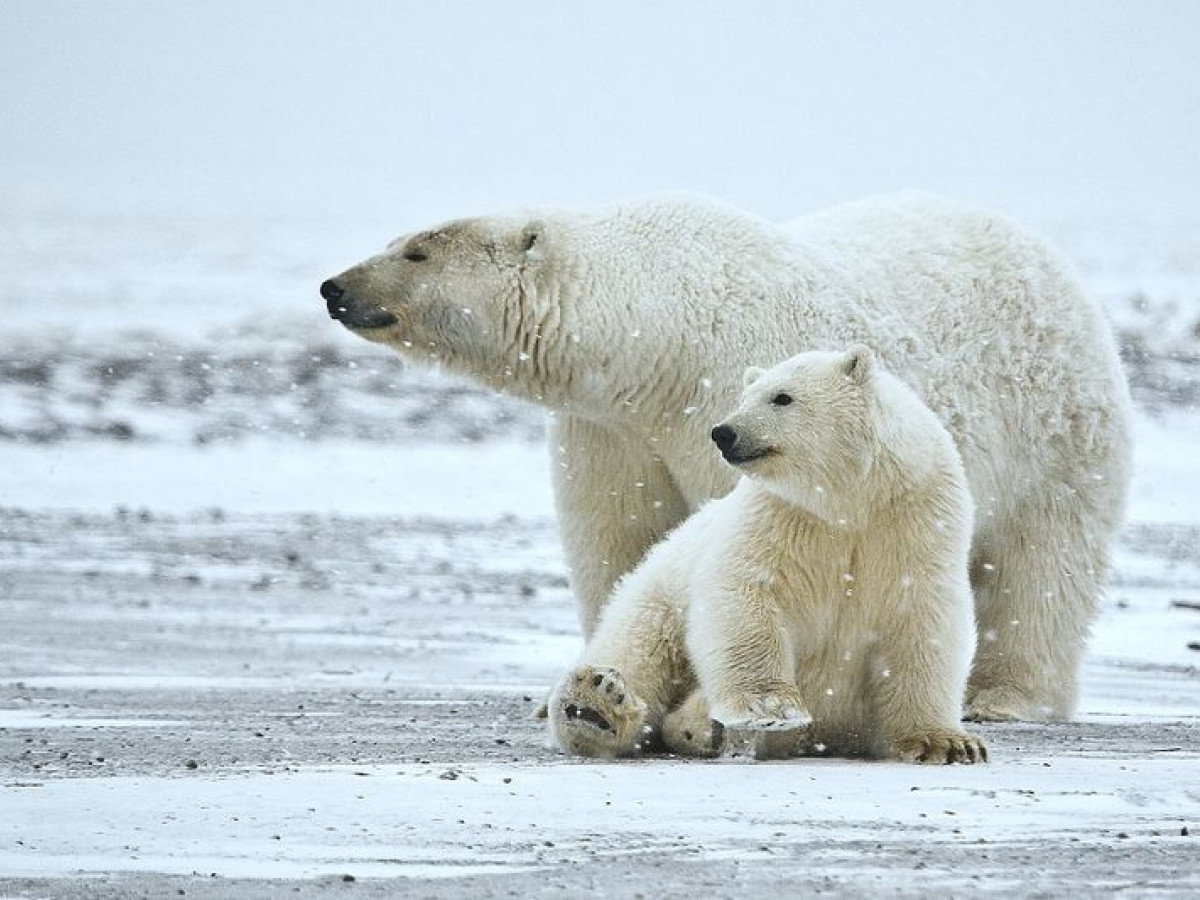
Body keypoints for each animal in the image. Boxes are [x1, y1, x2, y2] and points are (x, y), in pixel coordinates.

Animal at [324, 192, 1128, 724]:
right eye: (400, 236)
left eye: (418, 249)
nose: (334, 287)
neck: (657, 336)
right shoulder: (612, 429)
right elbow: (622, 541)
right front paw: (594, 683)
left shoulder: (726, 395)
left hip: (1057, 434)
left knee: (1042, 569)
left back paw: (1005, 698)